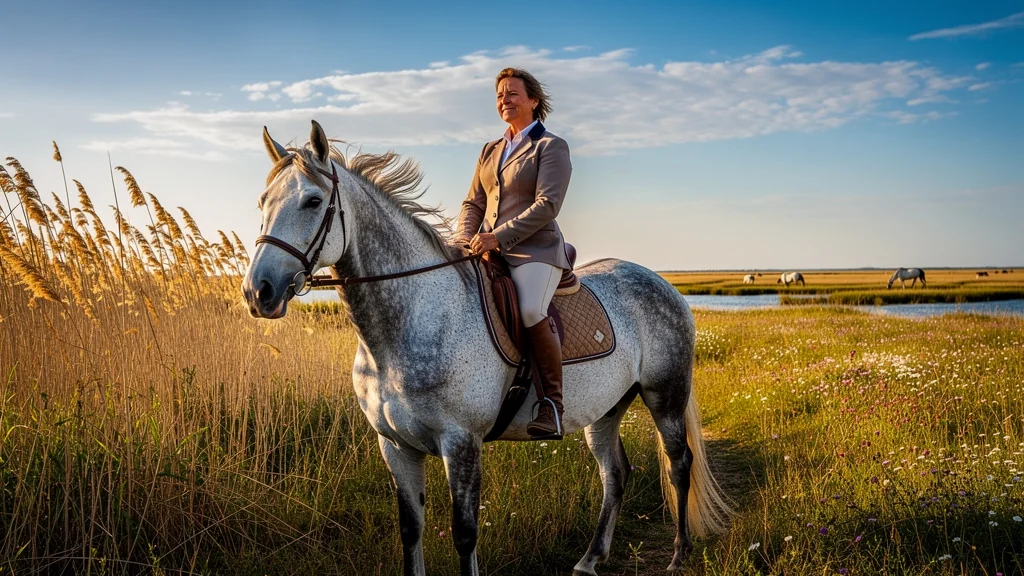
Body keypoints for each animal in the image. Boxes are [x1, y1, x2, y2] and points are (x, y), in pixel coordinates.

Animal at [241, 122, 732, 576]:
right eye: (262, 203)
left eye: (313, 201)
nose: (258, 292)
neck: (408, 324)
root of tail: (662, 283)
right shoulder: (395, 446)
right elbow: (410, 530)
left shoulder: (461, 443)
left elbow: (464, 534)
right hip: (607, 409)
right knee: (615, 474)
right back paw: (590, 559)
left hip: (664, 395)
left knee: (679, 463)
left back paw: (679, 555)